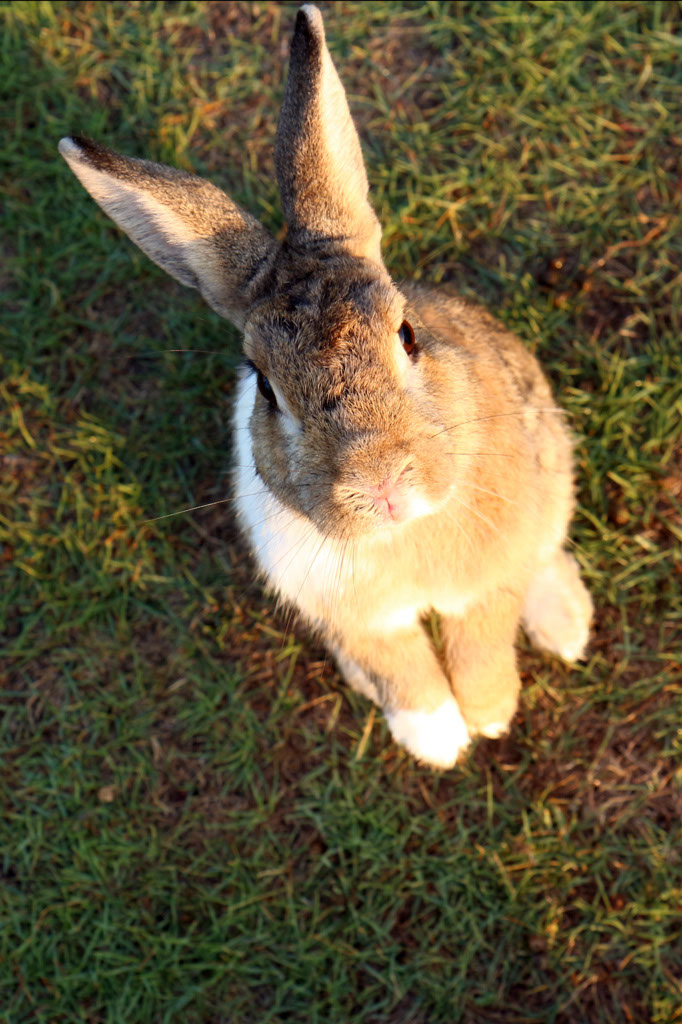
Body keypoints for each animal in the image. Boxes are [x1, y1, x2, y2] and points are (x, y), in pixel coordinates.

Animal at [58, 4, 592, 768]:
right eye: (266, 388)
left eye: (408, 335)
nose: (382, 485)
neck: (402, 537)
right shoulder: (351, 615)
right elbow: (401, 669)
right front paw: (437, 739)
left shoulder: (488, 578)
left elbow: (481, 639)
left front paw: (490, 715)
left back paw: (567, 626)